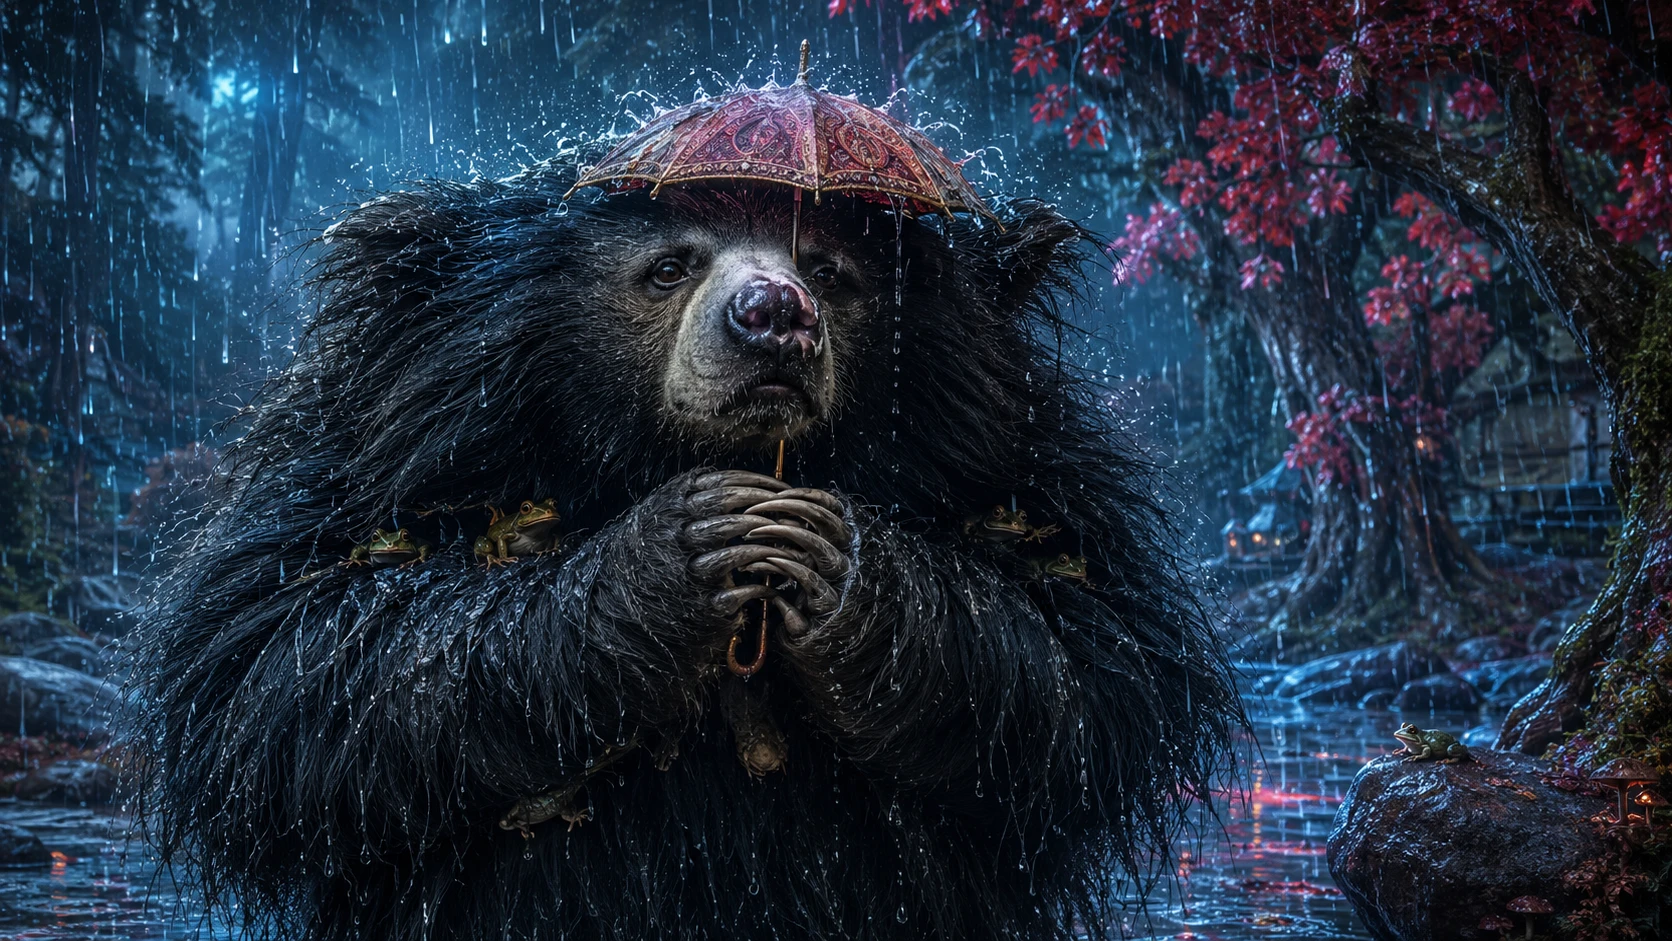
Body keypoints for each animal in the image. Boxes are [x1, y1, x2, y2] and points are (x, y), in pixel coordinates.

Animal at [130, 156, 1240, 940]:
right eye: (668, 266)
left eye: (830, 271)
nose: (774, 316)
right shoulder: (381, 433)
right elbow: (286, 651)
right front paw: (687, 549)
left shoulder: (1025, 456)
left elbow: (1090, 654)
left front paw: (830, 564)